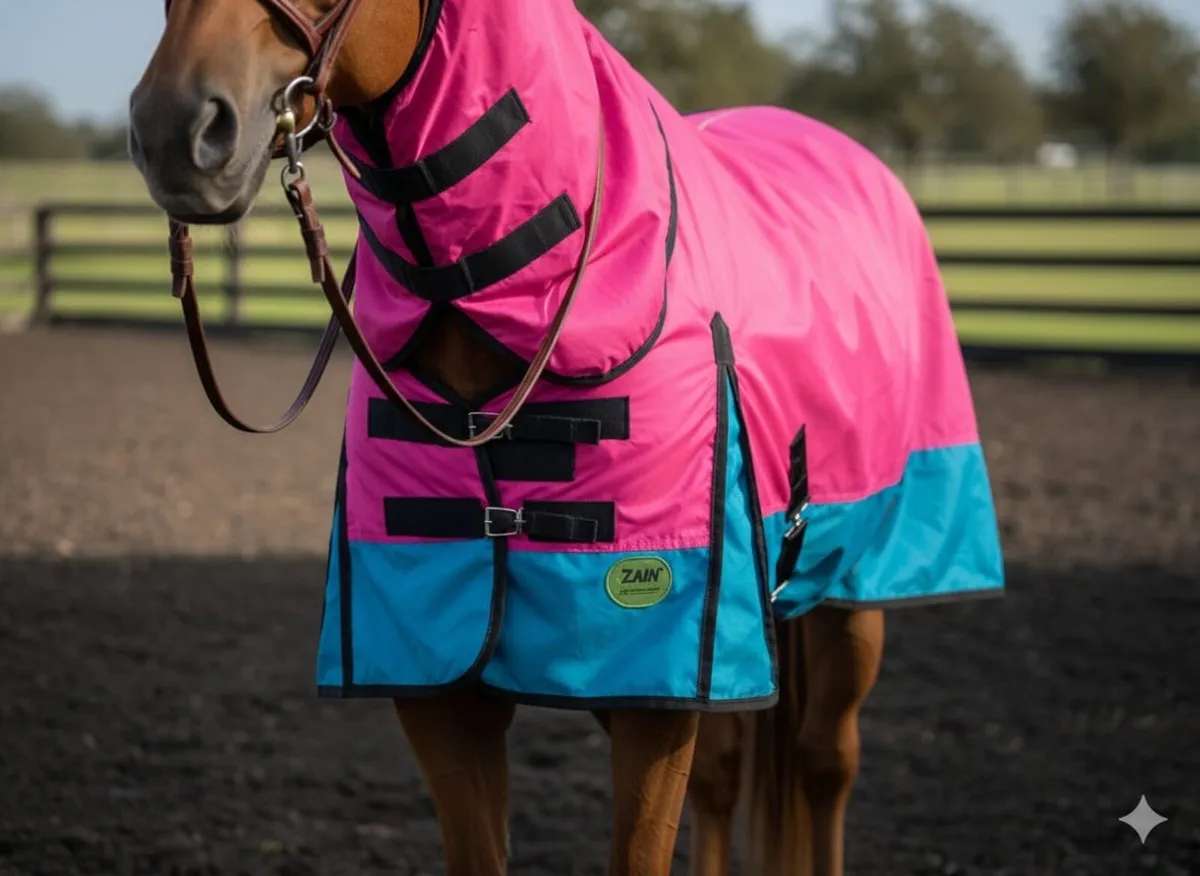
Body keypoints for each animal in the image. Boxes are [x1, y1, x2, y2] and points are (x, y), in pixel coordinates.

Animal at [127, 1, 1005, 874]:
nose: (173, 131)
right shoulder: (443, 685)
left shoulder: (655, 686)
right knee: (724, 777)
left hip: (856, 592)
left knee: (827, 762)